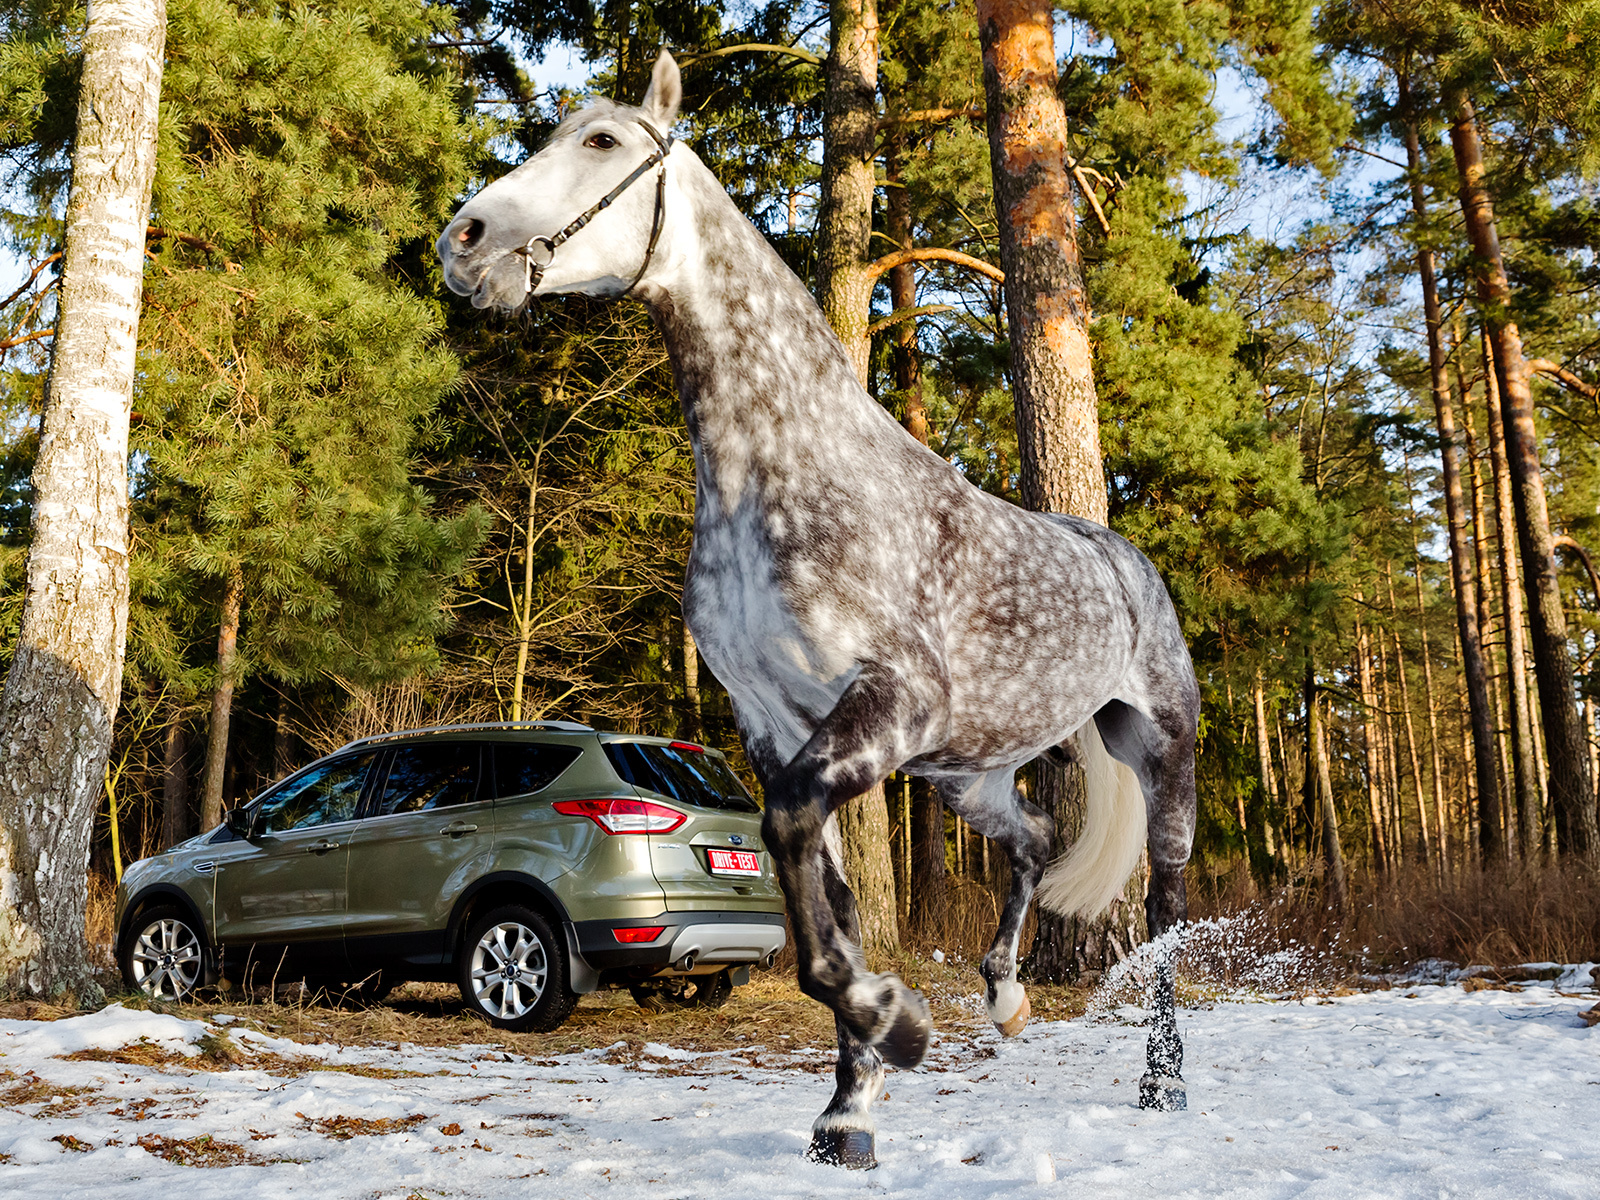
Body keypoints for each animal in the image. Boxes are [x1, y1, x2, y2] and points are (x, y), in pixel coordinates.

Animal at [444, 51, 1196, 1171]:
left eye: (603, 143)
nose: (464, 241)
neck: (785, 469)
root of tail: (1122, 557)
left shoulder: (886, 707)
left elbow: (805, 874)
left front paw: (901, 1028)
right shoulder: (780, 729)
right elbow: (824, 903)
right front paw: (851, 1112)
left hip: (1156, 756)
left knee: (1166, 906)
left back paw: (1162, 1083)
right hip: (963, 775)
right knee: (1028, 840)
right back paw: (1004, 999)